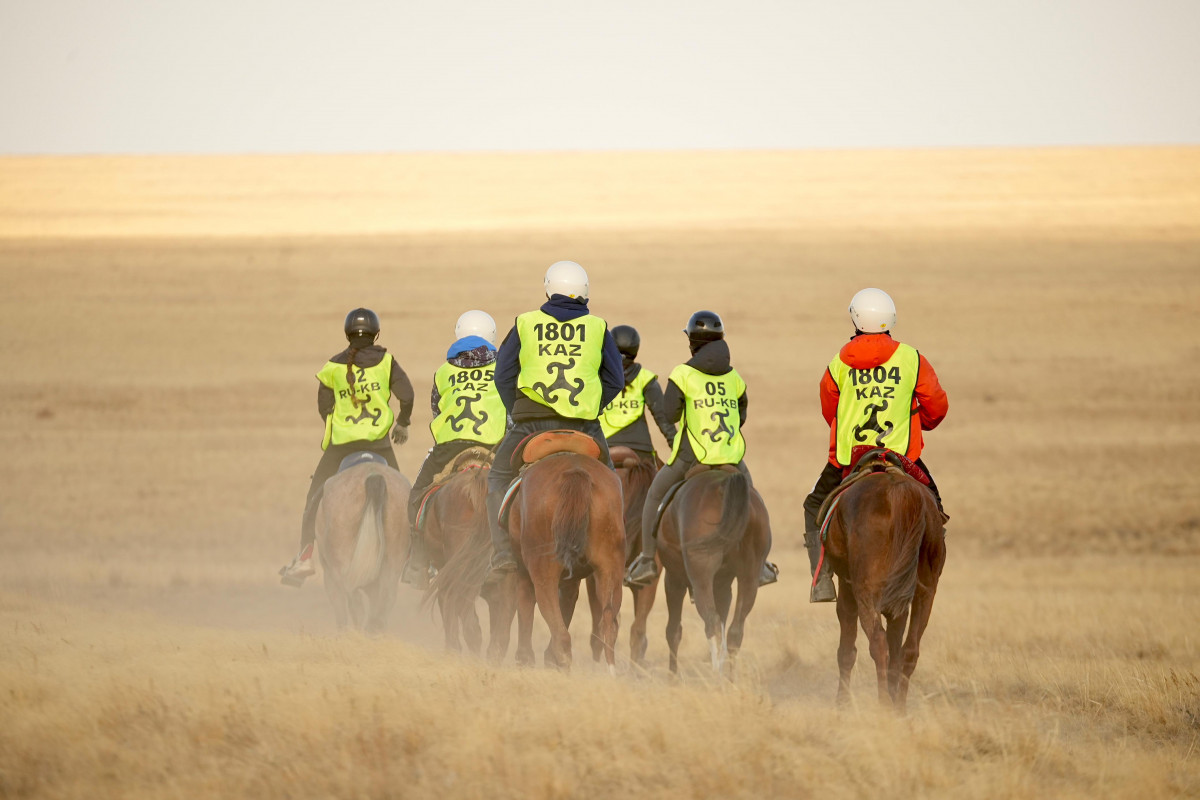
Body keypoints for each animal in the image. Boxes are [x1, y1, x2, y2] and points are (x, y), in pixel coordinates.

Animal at [314, 453, 411, 634]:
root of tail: (373, 476)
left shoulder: (330, 576)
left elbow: (341, 612)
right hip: (391, 565)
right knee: (384, 602)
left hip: (341, 567)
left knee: (355, 603)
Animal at [488, 432, 626, 672]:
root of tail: (575, 473)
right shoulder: (571, 581)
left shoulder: (522, 573)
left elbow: (522, 608)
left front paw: (524, 658)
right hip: (610, 568)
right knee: (608, 625)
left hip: (543, 573)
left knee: (561, 633)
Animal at [657, 465, 771, 676]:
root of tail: (722, 486)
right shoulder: (722, 586)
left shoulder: (673, 579)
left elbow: (673, 631)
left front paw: (673, 677)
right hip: (749, 576)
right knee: (734, 631)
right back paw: (729, 679)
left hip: (700, 577)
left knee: (712, 624)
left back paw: (716, 676)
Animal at [819, 449, 947, 712]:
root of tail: (900, 494)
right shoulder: (900, 603)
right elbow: (896, 647)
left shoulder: (847, 588)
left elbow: (847, 648)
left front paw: (842, 702)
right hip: (925, 592)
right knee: (909, 650)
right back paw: (899, 708)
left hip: (866, 590)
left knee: (878, 643)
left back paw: (884, 706)